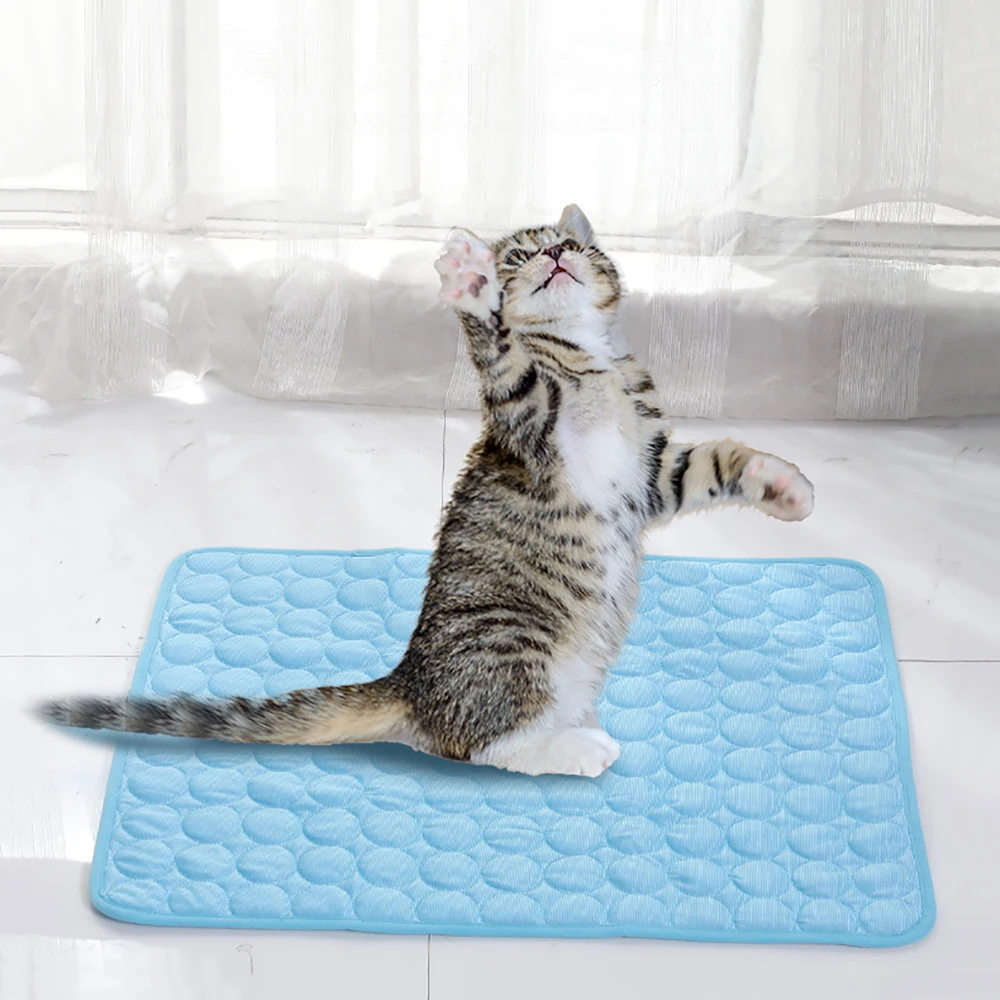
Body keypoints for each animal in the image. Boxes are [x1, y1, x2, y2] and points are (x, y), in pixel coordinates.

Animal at [41, 205, 813, 777]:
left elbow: (714, 459)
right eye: (519, 257)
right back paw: (574, 748)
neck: (587, 359)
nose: (555, 256)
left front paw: (786, 485)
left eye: (568, 244)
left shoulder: (651, 473)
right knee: (479, 744)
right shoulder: (529, 423)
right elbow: (502, 354)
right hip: (512, 636)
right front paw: (470, 286)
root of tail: (410, 682)